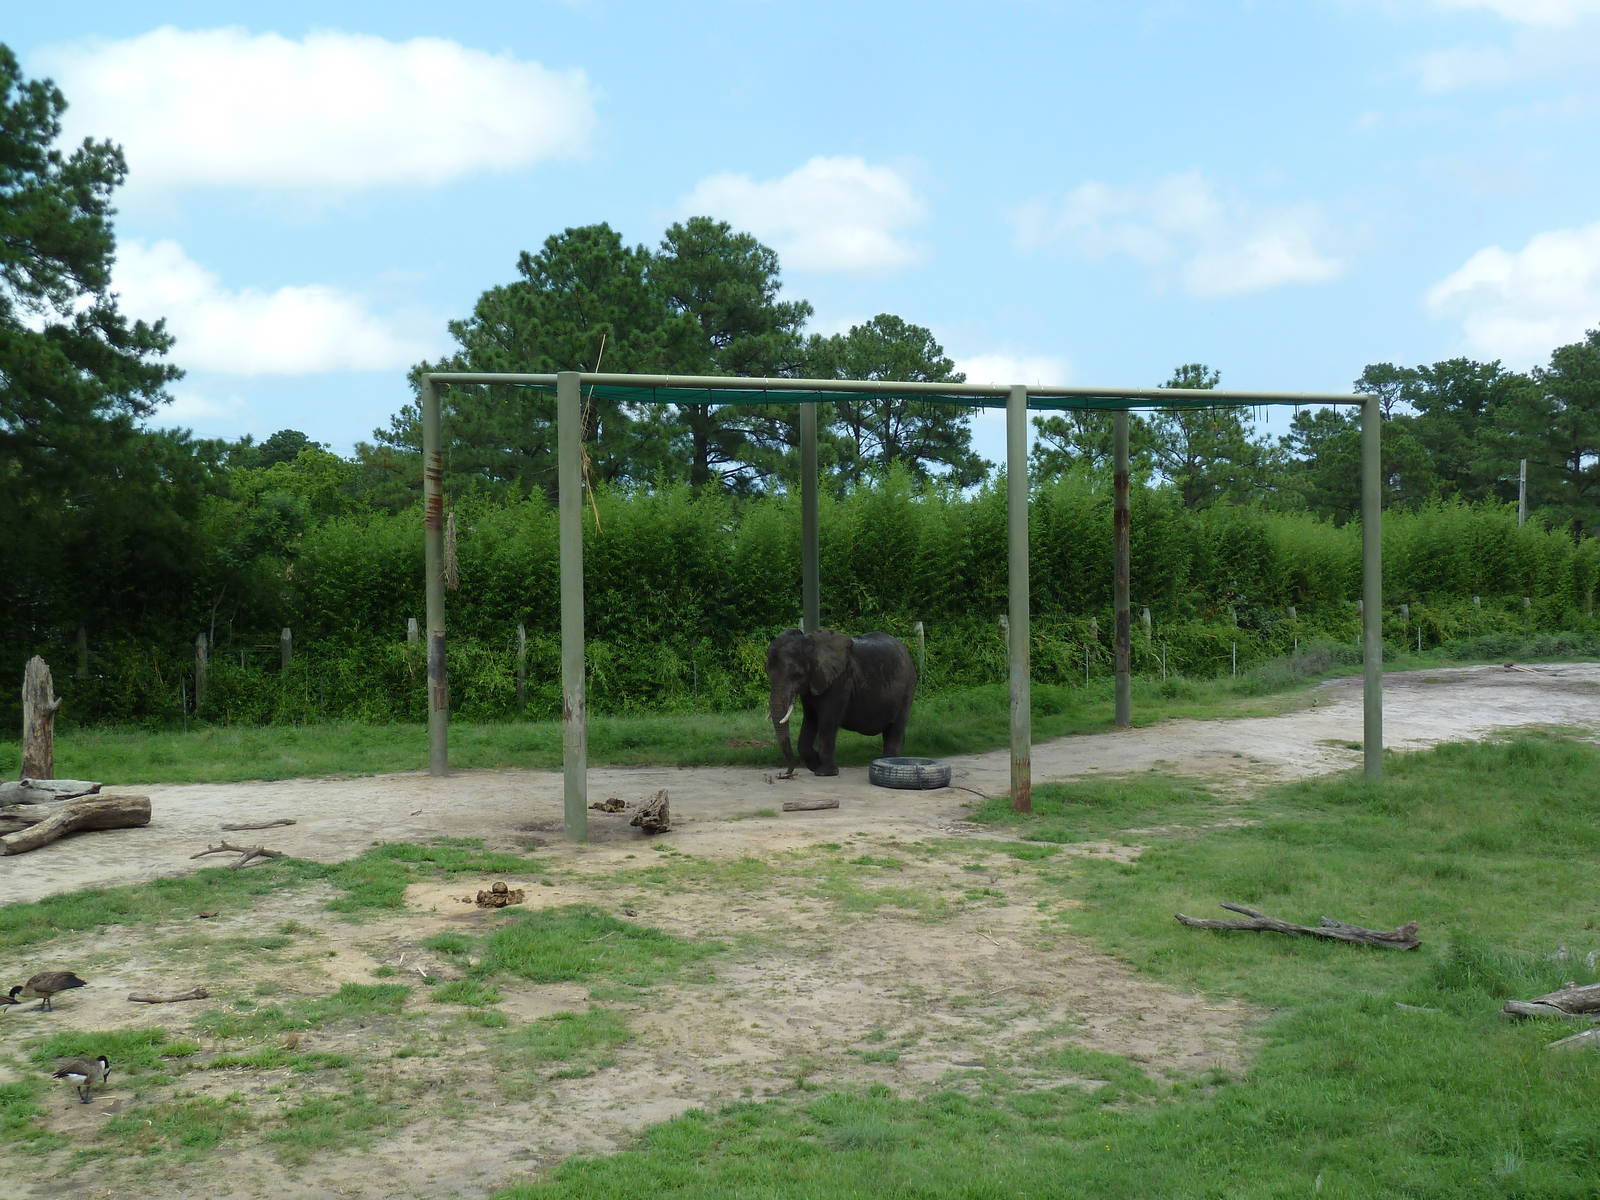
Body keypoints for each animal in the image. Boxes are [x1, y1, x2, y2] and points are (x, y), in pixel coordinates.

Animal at [765, 628, 917, 777]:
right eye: (768, 673)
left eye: (797, 674)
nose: (785, 774)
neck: (811, 643)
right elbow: (810, 719)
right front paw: (815, 766)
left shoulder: (840, 681)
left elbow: (828, 721)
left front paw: (825, 772)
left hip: (907, 687)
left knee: (896, 726)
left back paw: (889, 761)